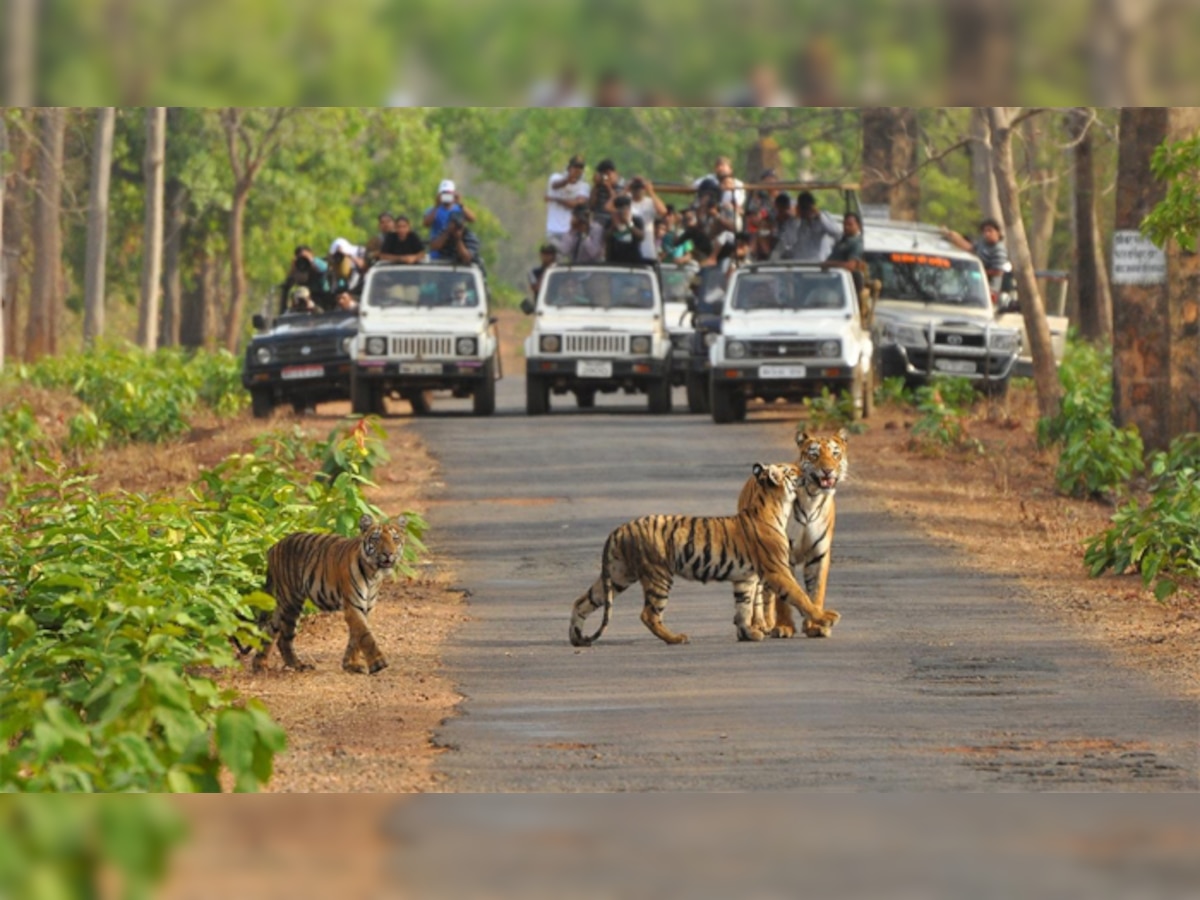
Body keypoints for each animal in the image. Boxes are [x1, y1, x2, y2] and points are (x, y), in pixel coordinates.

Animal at [250, 513, 405, 676]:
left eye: (395, 539)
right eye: (376, 538)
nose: (388, 554)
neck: (373, 573)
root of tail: (273, 547)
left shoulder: (366, 608)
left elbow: (355, 637)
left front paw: (351, 665)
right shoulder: (353, 606)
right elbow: (365, 635)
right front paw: (378, 663)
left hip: (283, 603)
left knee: (270, 629)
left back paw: (260, 665)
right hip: (291, 601)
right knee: (284, 638)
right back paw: (299, 665)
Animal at [566, 465, 840, 648]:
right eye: (792, 470)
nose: (806, 470)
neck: (776, 506)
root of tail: (619, 529)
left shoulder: (745, 578)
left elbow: (743, 607)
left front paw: (748, 634)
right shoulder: (777, 570)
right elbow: (800, 596)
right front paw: (825, 618)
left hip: (618, 575)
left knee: (581, 601)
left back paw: (576, 638)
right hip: (658, 575)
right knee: (649, 614)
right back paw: (676, 638)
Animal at [748, 429, 854, 643]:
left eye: (835, 454)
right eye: (814, 455)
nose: (828, 470)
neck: (812, 497)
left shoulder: (819, 554)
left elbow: (815, 591)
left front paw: (815, 626)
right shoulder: (782, 554)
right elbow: (784, 597)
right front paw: (784, 627)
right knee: (758, 592)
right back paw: (760, 625)